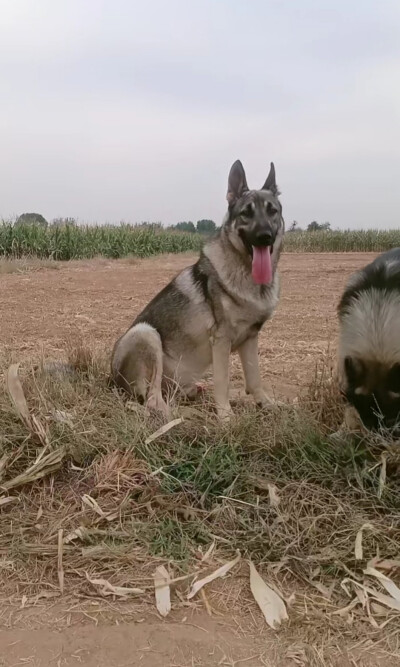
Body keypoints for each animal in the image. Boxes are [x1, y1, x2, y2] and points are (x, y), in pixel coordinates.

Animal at [110, 160, 284, 420]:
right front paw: (226, 417)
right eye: (246, 213)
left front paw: (266, 405)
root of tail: (112, 382)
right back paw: (177, 415)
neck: (246, 274)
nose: (265, 237)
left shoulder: (250, 338)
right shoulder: (221, 339)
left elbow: (255, 379)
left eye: (272, 211)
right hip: (147, 333)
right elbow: (223, 382)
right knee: (152, 400)